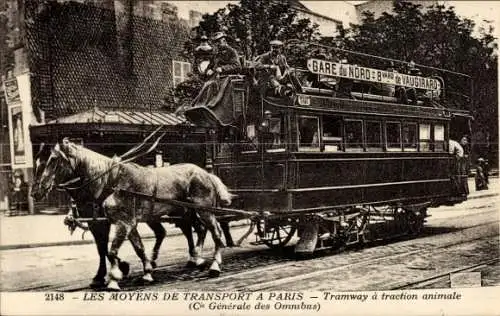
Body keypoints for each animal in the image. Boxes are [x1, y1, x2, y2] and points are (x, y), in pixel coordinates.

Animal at [34, 139, 233, 290]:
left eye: (53, 160)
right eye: (37, 161)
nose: (36, 192)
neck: (109, 182)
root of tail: (206, 173)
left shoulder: (124, 223)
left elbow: (112, 250)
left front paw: (114, 278)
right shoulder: (120, 223)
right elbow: (133, 248)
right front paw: (145, 272)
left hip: (204, 211)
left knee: (216, 234)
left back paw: (214, 265)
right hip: (186, 212)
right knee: (196, 230)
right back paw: (195, 258)